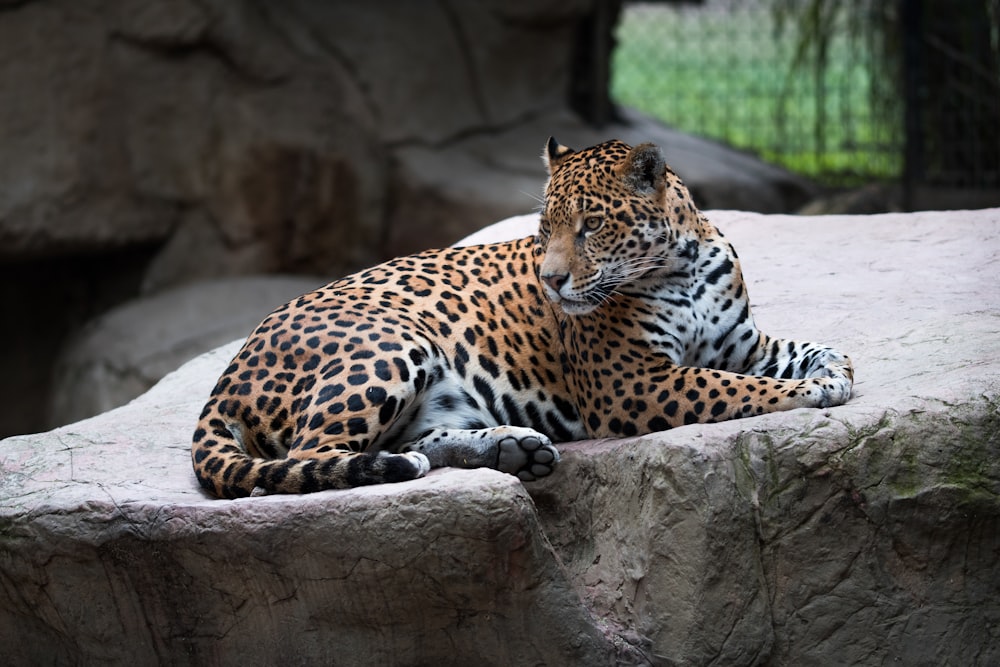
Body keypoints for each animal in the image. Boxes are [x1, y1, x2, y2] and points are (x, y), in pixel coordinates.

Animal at [193, 138, 852, 498]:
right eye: (544, 229)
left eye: (591, 225)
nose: (551, 281)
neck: (679, 266)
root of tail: (228, 374)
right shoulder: (632, 382)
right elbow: (729, 388)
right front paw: (805, 394)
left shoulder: (739, 342)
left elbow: (806, 350)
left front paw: (833, 372)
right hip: (389, 345)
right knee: (303, 458)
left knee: (414, 442)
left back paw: (513, 448)